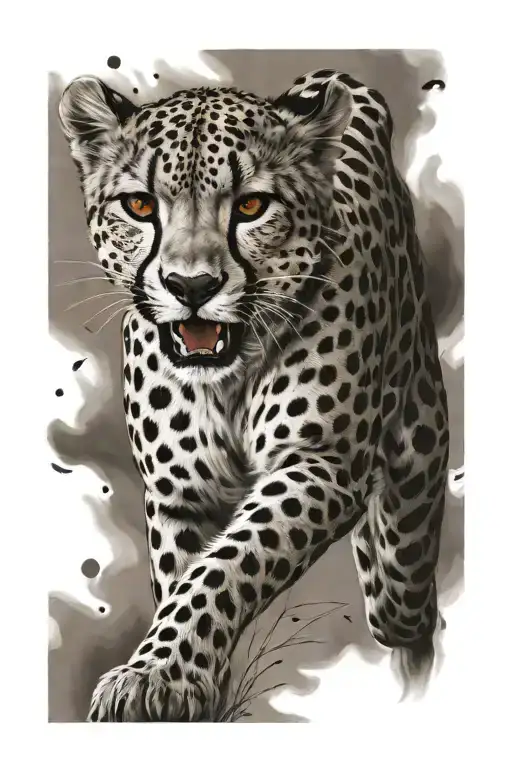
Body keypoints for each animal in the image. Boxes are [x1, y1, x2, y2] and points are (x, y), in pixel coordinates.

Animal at [58, 68, 449, 721]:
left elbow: (225, 567)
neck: (225, 382)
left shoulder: (319, 463)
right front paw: (179, 682)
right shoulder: (180, 493)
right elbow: (187, 580)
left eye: (251, 206)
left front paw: (154, 675)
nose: (191, 286)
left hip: (411, 512)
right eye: (140, 206)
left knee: (401, 605)